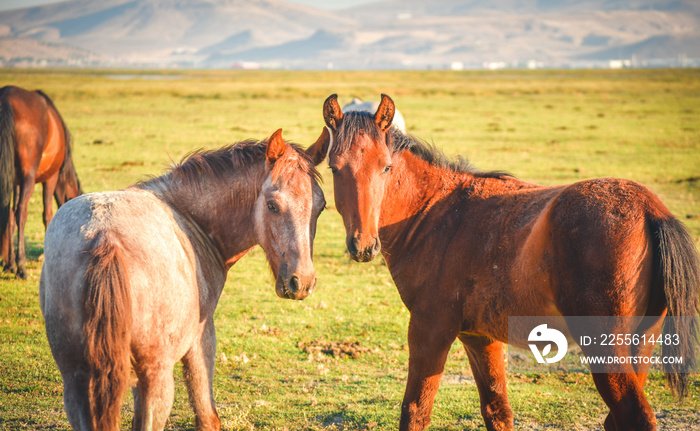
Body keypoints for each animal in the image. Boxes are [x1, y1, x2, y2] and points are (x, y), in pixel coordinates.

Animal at [0, 86, 82, 280]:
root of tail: (6, 97)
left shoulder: (15, 181)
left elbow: (9, 216)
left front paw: (9, 263)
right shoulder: (49, 179)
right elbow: (47, 215)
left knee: (10, 212)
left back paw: (10, 264)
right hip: (30, 177)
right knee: (22, 212)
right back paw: (21, 267)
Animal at [40, 129, 328, 431]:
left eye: (320, 207)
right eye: (272, 205)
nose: (302, 282)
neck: (189, 218)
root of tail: (104, 237)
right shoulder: (201, 339)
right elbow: (207, 415)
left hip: (77, 377)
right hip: (157, 378)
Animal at [310, 95, 700, 431]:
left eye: (386, 166)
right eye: (335, 168)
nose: (363, 246)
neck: (436, 212)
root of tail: (650, 209)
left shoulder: (428, 330)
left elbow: (415, 411)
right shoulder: (481, 338)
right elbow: (497, 411)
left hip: (606, 350)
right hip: (640, 347)